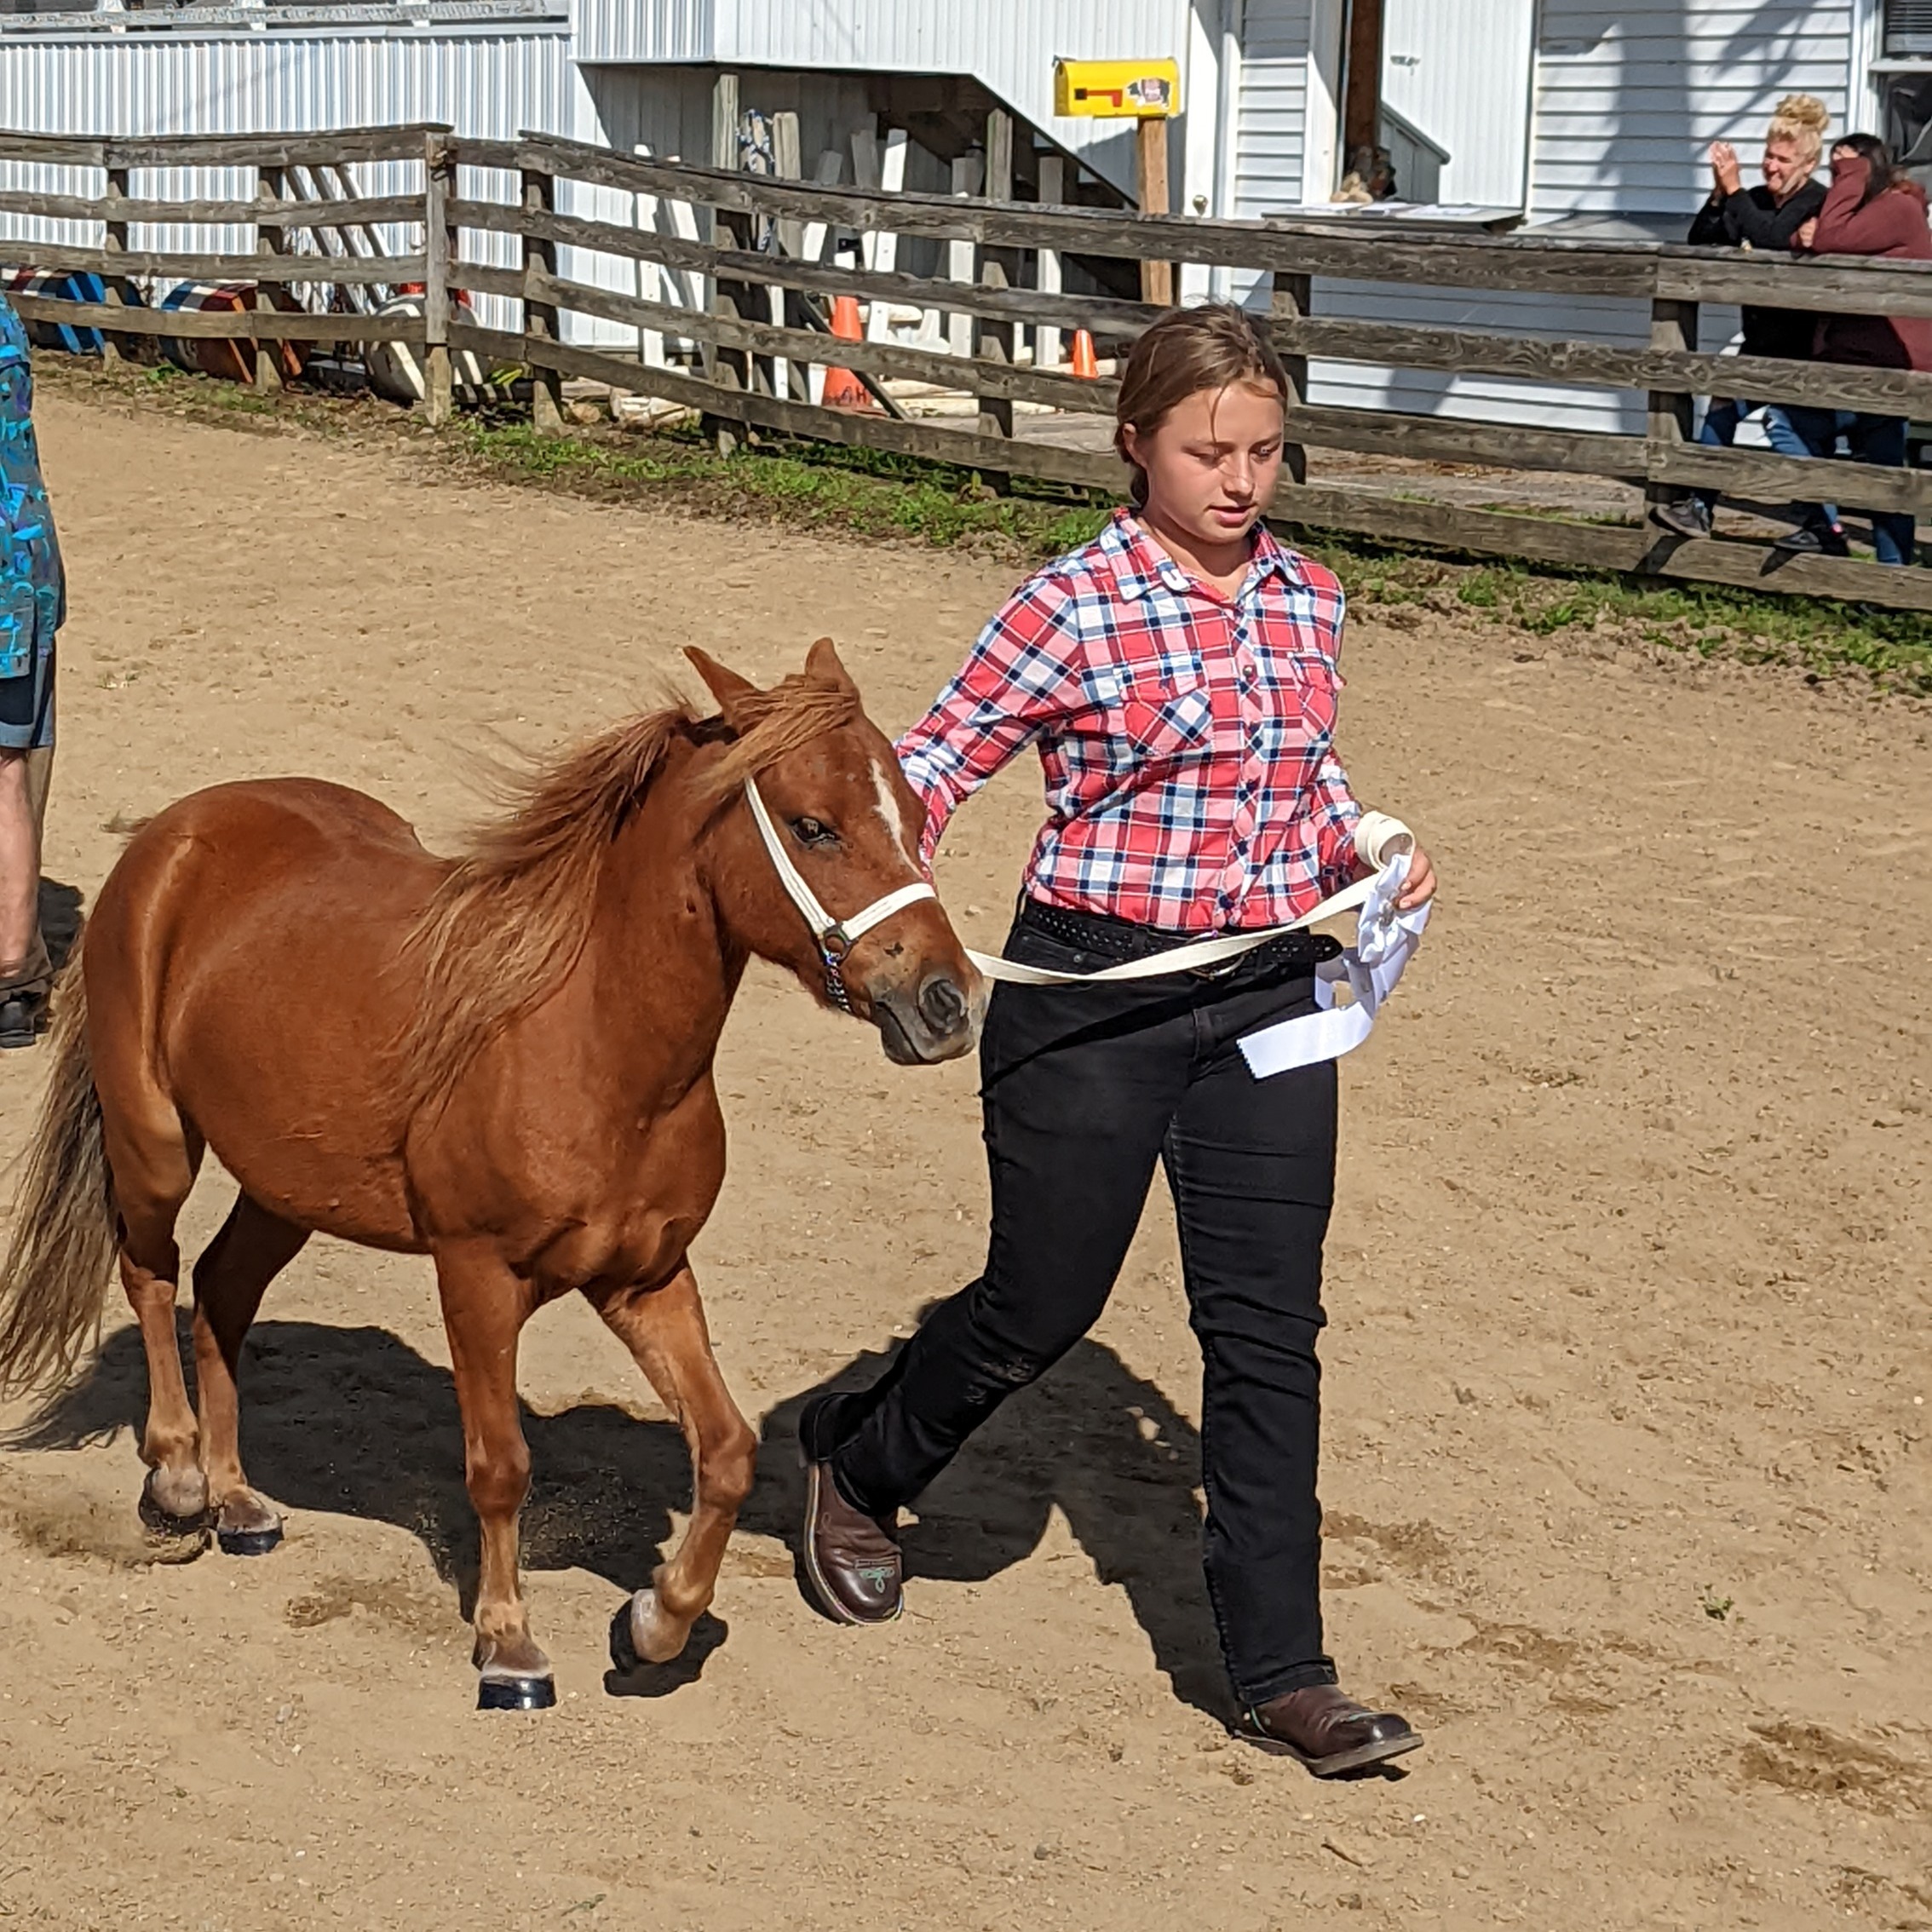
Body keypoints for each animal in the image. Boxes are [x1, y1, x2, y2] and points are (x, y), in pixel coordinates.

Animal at [0, 645, 974, 1707]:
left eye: (916, 817)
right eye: (812, 825)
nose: (948, 1002)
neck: (588, 1044)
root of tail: (177, 832)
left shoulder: (644, 1278)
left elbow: (724, 1452)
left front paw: (653, 1626)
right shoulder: (476, 1276)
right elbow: (500, 1464)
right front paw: (508, 1646)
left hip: (287, 1184)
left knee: (221, 1292)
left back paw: (237, 1498)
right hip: (156, 1143)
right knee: (151, 1274)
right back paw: (178, 1482)